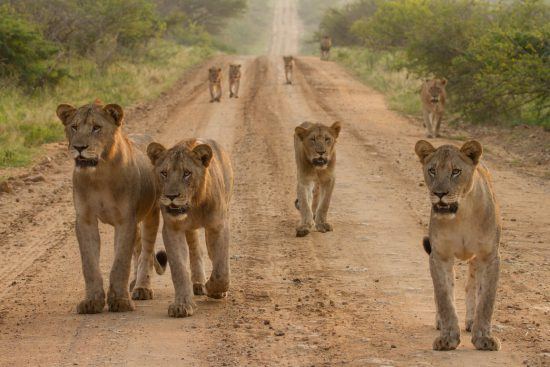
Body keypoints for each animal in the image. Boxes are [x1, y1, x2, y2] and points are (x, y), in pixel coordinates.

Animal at [56, 102, 168, 314]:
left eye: (96, 128)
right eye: (74, 127)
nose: (79, 147)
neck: (99, 174)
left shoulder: (125, 220)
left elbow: (120, 262)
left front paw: (120, 301)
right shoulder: (85, 219)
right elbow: (89, 263)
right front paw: (92, 301)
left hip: (151, 214)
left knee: (147, 252)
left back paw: (142, 287)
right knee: (138, 249)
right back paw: (133, 283)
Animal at [148, 139, 234, 318]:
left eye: (187, 173)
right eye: (164, 173)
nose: (171, 196)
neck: (194, 205)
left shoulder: (219, 226)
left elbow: (221, 270)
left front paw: (214, 290)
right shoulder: (172, 229)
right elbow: (179, 269)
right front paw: (182, 305)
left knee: (211, 255)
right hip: (190, 230)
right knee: (195, 249)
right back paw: (198, 282)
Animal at [416, 139, 502, 352]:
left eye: (456, 171)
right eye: (432, 170)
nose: (439, 193)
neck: (462, 213)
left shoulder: (490, 256)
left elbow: (486, 299)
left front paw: (484, 338)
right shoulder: (440, 256)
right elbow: (445, 297)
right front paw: (448, 338)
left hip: (476, 260)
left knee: (472, 284)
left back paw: (471, 321)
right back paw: (440, 321)